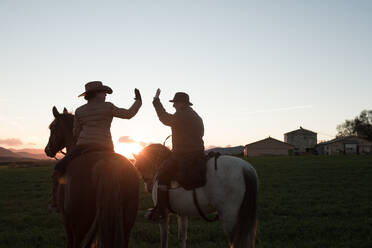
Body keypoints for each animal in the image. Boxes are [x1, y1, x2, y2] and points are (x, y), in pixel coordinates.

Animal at [45, 107, 140, 248]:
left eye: (52, 127)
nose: (47, 150)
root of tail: (106, 162)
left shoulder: (67, 220)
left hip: (81, 224)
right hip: (127, 223)